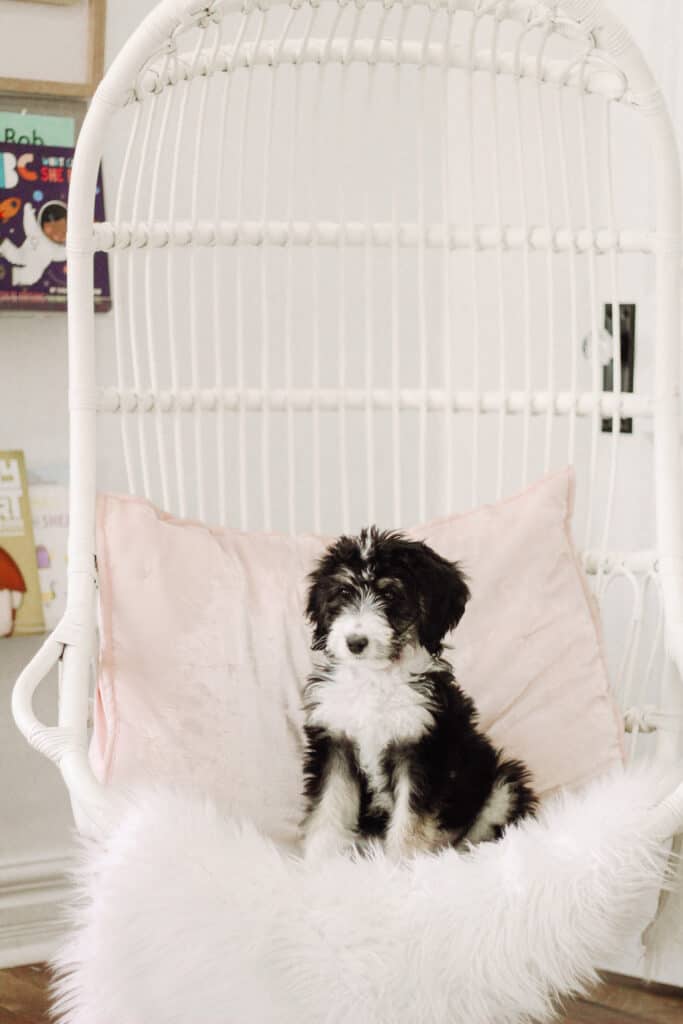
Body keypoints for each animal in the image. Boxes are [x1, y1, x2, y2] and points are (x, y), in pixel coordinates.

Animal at [301, 528, 536, 864]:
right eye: (343, 592)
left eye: (390, 595)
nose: (355, 643)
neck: (375, 678)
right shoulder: (335, 742)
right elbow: (327, 808)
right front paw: (318, 864)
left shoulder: (423, 751)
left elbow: (410, 821)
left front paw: (400, 868)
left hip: (504, 784)